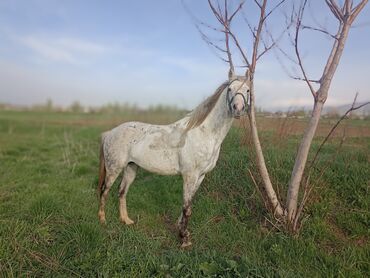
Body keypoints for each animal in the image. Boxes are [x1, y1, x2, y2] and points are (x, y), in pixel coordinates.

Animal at [97, 74, 251, 248]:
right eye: (230, 89)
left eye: (248, 90)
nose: (238, 108)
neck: (205, 133)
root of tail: (110, 133)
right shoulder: (190, 175)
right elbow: (187, 208)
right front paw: (184, 239)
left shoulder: (200, 176)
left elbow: (188, 204)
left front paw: (181, 230)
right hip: (113, 169)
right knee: (104, 191)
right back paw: (102, 220)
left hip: (131, 168)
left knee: (122, 191)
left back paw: (126, 220)